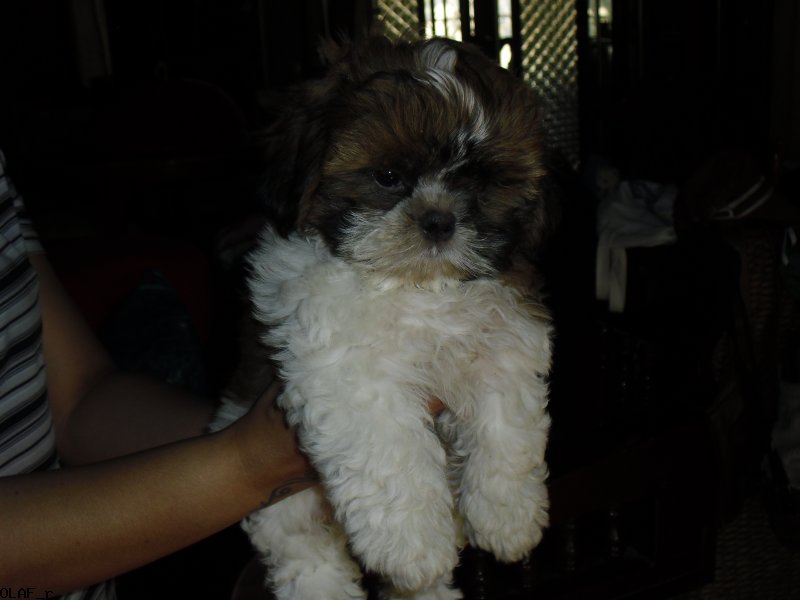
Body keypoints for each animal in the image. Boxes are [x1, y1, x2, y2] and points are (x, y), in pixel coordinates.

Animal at [212, 36, 555, 600]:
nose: (439, 221)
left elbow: (508, 418)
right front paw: (412, 545)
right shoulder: (345, 364)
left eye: (481, 183)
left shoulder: (506, 331)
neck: (416, 286)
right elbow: (390, 450)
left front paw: (508, 516)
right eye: (389, 176)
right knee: (303, 549)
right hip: (281, 503)